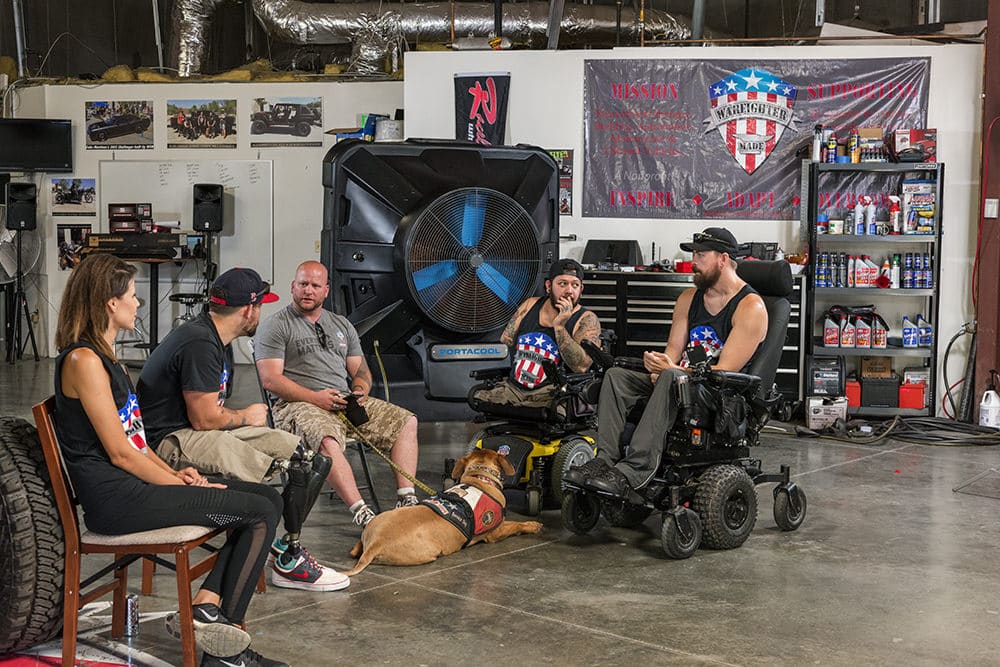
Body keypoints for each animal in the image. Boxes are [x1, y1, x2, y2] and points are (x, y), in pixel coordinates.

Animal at [346, 448, 548, 576]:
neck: (479, 477)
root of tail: (376, 543)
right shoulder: (495, 531)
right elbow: (515, 525)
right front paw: (532, 525)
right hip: (429, 552)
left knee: (355, 551)